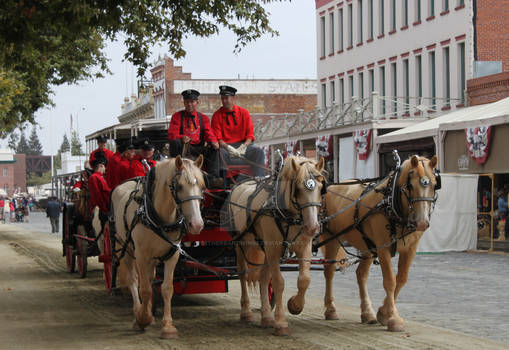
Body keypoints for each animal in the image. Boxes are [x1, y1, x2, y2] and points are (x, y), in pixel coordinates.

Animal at [111, 157, 204, 340]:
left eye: (202, 186)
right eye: (179, 186)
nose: (197, 224)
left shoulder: (172, 254)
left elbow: (167, 288)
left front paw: (167, 326)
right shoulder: (141, 255)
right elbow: (145, 289)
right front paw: (142, 318)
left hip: (153, 258)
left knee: (149, 278)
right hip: (126, 248)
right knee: (134, 280)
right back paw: (138, 312)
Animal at [227, 157, 324, 336]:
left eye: (321, 188)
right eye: (298, 188)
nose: (313, 227)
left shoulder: (303, 247)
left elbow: (304, 280)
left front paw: (295, 305)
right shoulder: (274, 251)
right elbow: (279, 283)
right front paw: (281, 323)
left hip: (264, 249)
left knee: (264, 278)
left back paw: (266, 316)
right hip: (241, 244)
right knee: (243, 274)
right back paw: (246, 312)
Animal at [322, 153, 436, 330]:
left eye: (435, 185)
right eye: (410, 185)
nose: (422, 223)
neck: (390, 201)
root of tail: (331, 187)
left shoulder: (410, 249)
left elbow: (401, 279)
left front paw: (383, 313)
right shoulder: (383, 248)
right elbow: (390, 281)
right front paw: (393, 318)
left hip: (367, 245)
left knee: (361, 274)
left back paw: (367, 313)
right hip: (332, 238)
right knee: (329, 271)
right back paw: (331, 309)